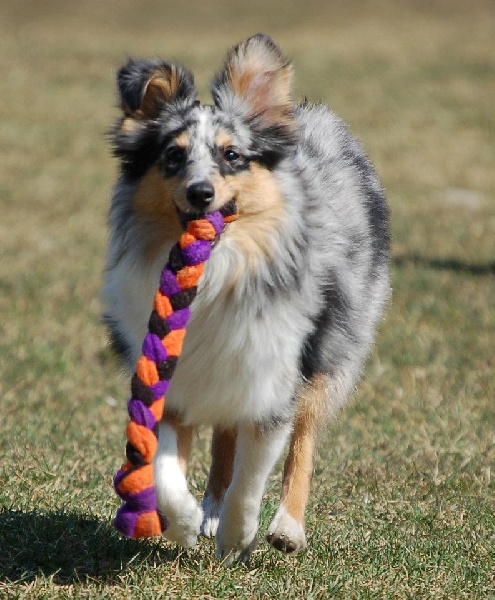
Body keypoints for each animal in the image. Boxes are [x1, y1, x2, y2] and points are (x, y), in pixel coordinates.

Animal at [102, 34, 392, 564]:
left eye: (232, 155)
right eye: (172, 156)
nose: (200, 193)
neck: (220, 271)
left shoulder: (272, 375)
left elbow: (254, 474)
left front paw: (239, 536)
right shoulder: (173, 373)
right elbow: (165, 468)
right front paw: (184, 522)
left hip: (333, 346)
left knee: (304, 439)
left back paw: (286, 528)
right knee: (224, 438)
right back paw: (210, 511)